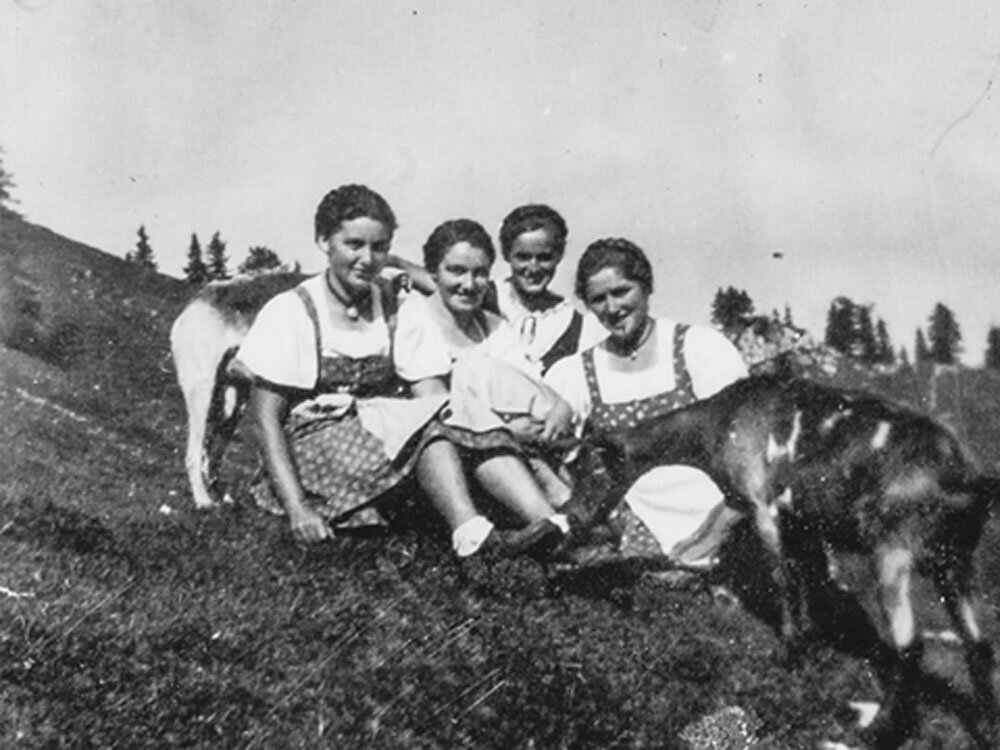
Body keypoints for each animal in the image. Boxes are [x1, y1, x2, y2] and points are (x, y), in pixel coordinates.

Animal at [576, 376, 996, 750]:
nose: (582, 523)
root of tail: (968, 480)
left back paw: (875, 731)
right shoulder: (768, 511)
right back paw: (987, 729)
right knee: (979, 643)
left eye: (603, 467)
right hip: (955, 561)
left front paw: (790, 651)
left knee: (910, 645)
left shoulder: (766, 508)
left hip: (893, 549)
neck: (720, 421)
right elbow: (713, 544)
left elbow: (785, 578)